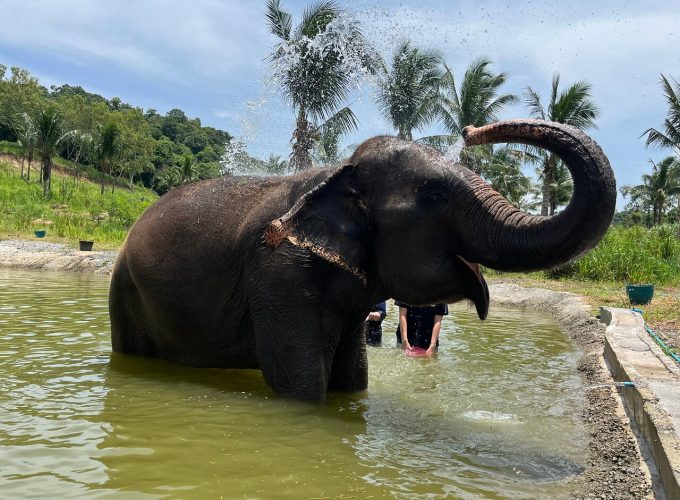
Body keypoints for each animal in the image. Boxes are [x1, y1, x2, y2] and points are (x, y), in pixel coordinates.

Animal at [109, 119, 616, 402]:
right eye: (434, 195)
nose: (471, 131)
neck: (338, 171)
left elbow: (354, 378)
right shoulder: (278, 272)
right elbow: (300, 383)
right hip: (126, 288)